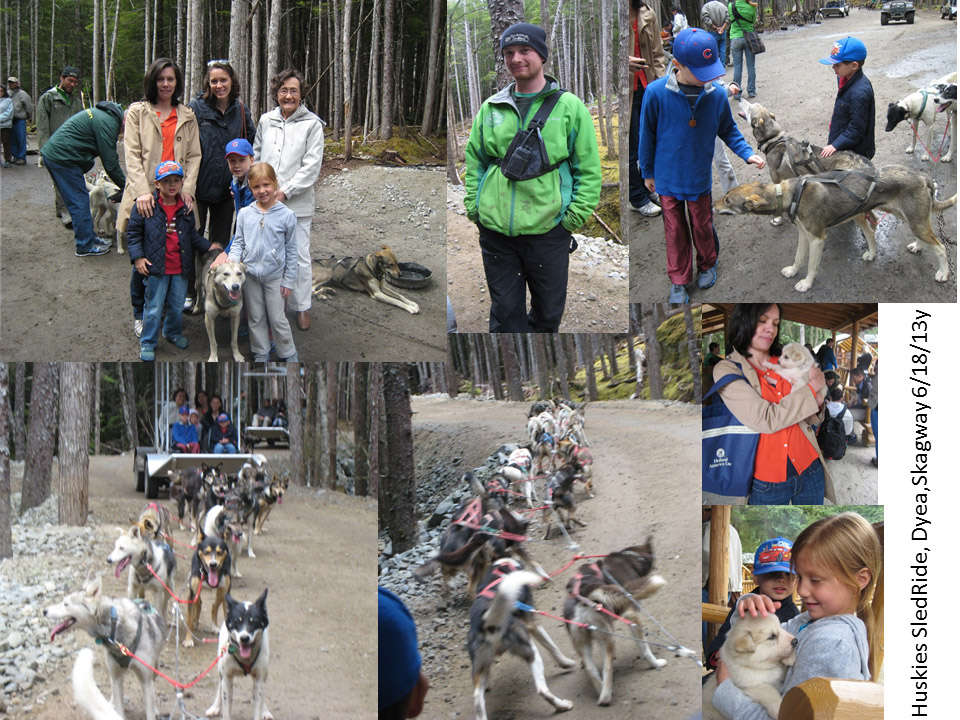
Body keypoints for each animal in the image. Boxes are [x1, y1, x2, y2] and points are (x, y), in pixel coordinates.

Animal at [46, 576, 167, 720]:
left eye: (66, 604)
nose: (44, 611)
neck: (115, 628)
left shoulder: (146, 680)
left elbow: (150, 709)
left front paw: (153, 710)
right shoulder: (116, 677)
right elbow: (119, 707)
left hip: (155, 669)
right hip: (115, 676)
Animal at [204, 592, 272, 720]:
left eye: (254, 621)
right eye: (237, 621)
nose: (244, 638)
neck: (245, 659)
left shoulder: (259, 679)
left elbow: (259, 704)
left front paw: (262, 711)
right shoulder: (227, 678)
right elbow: (226, 706)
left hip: (264, 675)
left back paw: (265, 710)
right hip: (221, 671)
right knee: (219, 687)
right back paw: (215, 707)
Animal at [466, 564, 572, 720]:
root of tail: (487, 623)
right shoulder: (532, 625)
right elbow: (552, 647)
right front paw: (566, 662)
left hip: (480, 664)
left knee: (478, 702)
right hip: (531, 652)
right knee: (542, 689)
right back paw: (563, 705)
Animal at [564, 540, 668, 704]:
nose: (656, 567)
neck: (629, 558)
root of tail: (584, 592)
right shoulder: (632, 614)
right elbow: (644, 648)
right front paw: (654, 662)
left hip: (583, 641)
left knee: (590, 668)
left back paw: (600, 691)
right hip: (607, 638)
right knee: (608, 668)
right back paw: (606, 697)